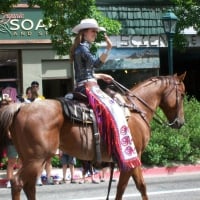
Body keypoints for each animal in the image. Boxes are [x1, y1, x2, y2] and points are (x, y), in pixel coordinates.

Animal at [0, 73, 185, 200]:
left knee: (29, 186)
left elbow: (121, 188)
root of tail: (21, 108)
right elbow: (139, 186)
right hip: (36, 158)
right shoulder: (134, 156)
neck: (135, 110)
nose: (180, 122)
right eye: (182, 94)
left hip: (31, 158)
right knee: (17, 183)